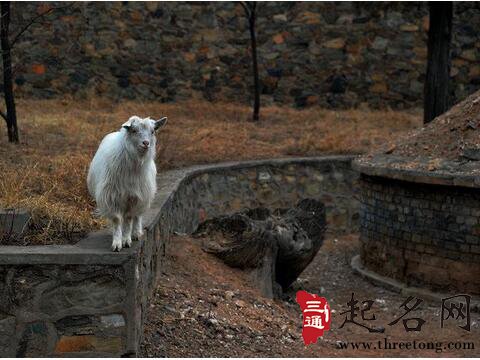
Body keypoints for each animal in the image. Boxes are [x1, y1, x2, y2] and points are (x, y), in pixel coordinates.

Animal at [87, 115, 168, 250]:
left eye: (152, 131)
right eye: (134, 130)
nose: (146, 143)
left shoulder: (134, 197)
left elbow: (129, 218)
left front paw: (126, 240)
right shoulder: (112, 197)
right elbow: (117, 220)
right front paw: (117, 243)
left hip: (144, 195)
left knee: (138, 215)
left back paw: (136, 233)